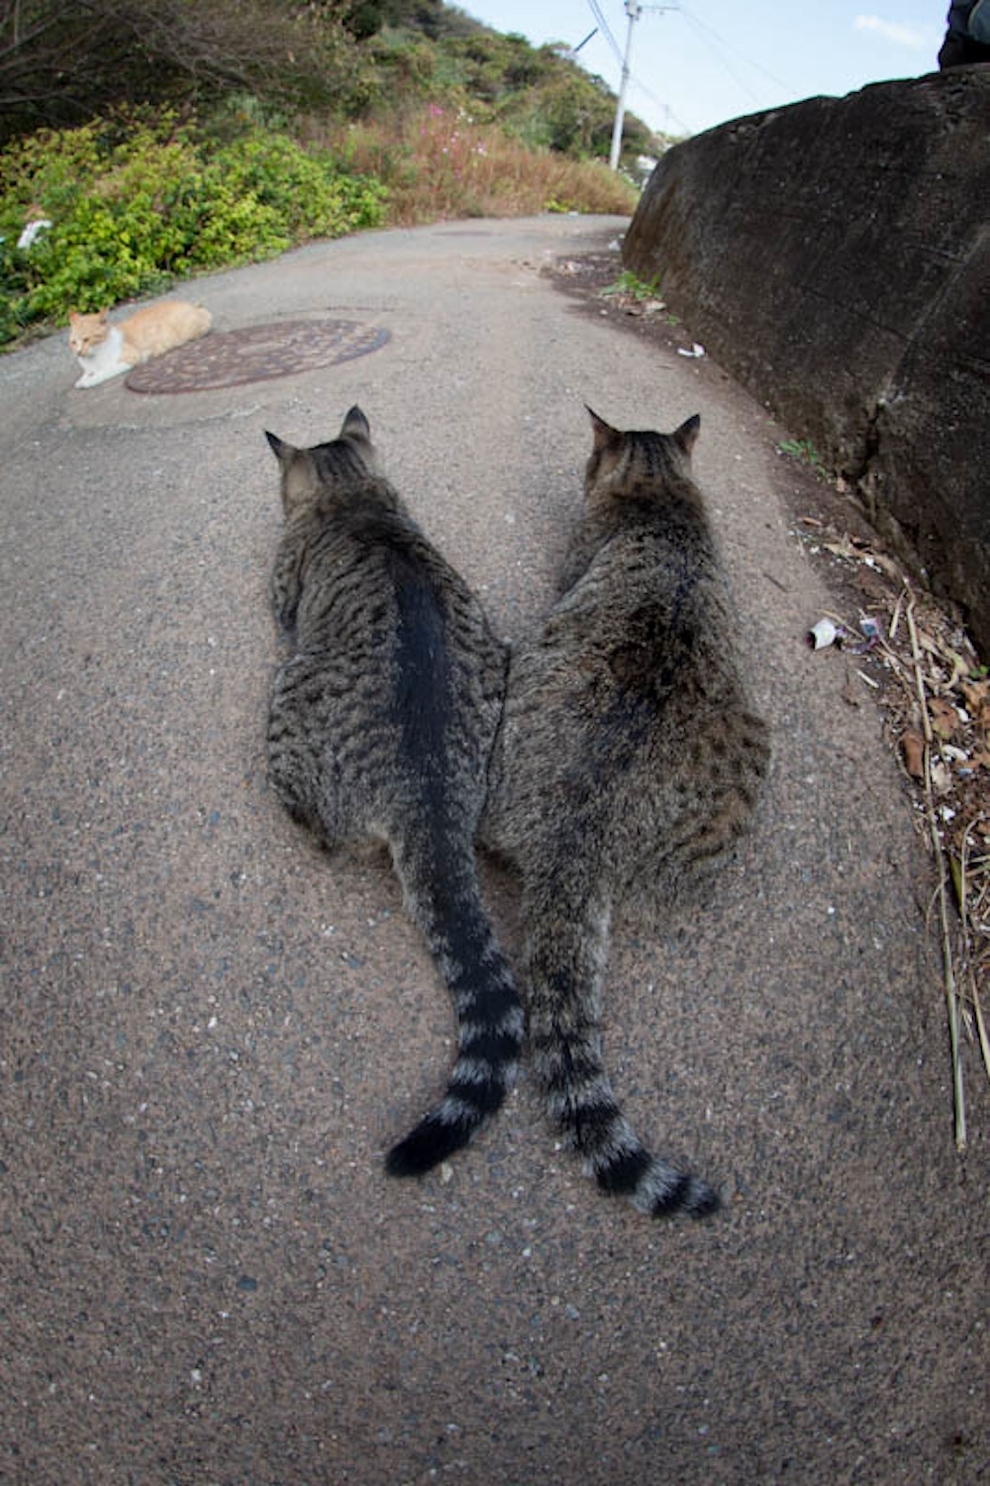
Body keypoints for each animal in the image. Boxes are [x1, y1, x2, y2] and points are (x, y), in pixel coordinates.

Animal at [68, 300, 212, 389]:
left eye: (86, 339)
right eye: (73, 342)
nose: (78, 352)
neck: (94, 357)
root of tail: (193, 306)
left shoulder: (130, 359)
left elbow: (103, 373)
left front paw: (87, 382)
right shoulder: (88, 368)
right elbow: (85, 374)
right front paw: (82, 380)